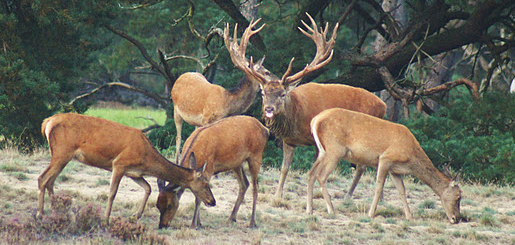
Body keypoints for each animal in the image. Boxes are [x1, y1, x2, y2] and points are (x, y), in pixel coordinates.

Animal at [38, 113, 216, 222]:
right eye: (205, 184)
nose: (212, 201)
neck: (146, 157)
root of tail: (47, 122)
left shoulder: (134, 173)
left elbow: (148, 188)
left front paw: (135, 215)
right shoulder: (119, 164)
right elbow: (112, 192)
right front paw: (106, 219)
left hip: (63, 156)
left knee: (50, 181)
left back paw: (56, 212)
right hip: (62, 152)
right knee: (42, 179)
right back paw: (40, 213)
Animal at [226, 13, 388, 201]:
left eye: (283, 94)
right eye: (263, 93)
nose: (269, 109)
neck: (298, 117)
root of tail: (383, 105)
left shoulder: (317, 139)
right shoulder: (288, 140)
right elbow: (284, 168)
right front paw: (278, 195)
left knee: (362, 166)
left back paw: (349, 195)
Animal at [306, 108, 464, 223]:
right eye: (458, 197)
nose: (456, 219)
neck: (410, 157)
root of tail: (314, 121)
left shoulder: (395, 170)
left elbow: (402, 190)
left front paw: (409, 216)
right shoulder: (385, 159)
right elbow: (379, 187)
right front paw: (370, 214)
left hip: (322, 151)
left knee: (311, 173)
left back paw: (310, 210)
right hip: (335, 150)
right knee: (321, 176)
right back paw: (331, 209)